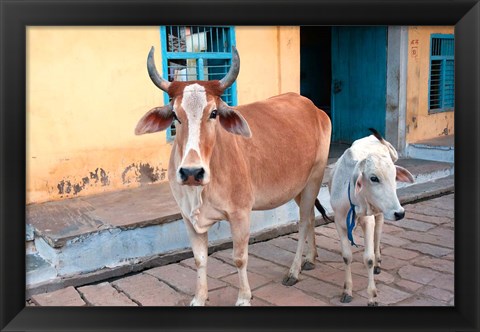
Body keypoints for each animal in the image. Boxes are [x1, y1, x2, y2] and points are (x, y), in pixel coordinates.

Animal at [135, 46, 330, 306]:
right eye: (175, 115)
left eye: (214, 113)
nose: (191, 172)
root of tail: (313, 108)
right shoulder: (187, 217)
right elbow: (199, 259)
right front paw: (199, 298)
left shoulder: (240, 214)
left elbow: (239, 258)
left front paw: (244, 297)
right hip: (299, 186)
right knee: (309, 217)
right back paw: (311, 258)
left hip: (314, 179)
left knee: (302, 222)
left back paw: (294, 271)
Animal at [328, 130, 414, 306]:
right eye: (374, 178)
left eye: (394, 177)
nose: (400, 213)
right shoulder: (339, 223)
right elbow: (346, 256)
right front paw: (347, 290)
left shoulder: (368, 221)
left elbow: (368, 258)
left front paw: (372, 296)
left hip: (380, 213)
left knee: (377, 235)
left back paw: (378, 260)